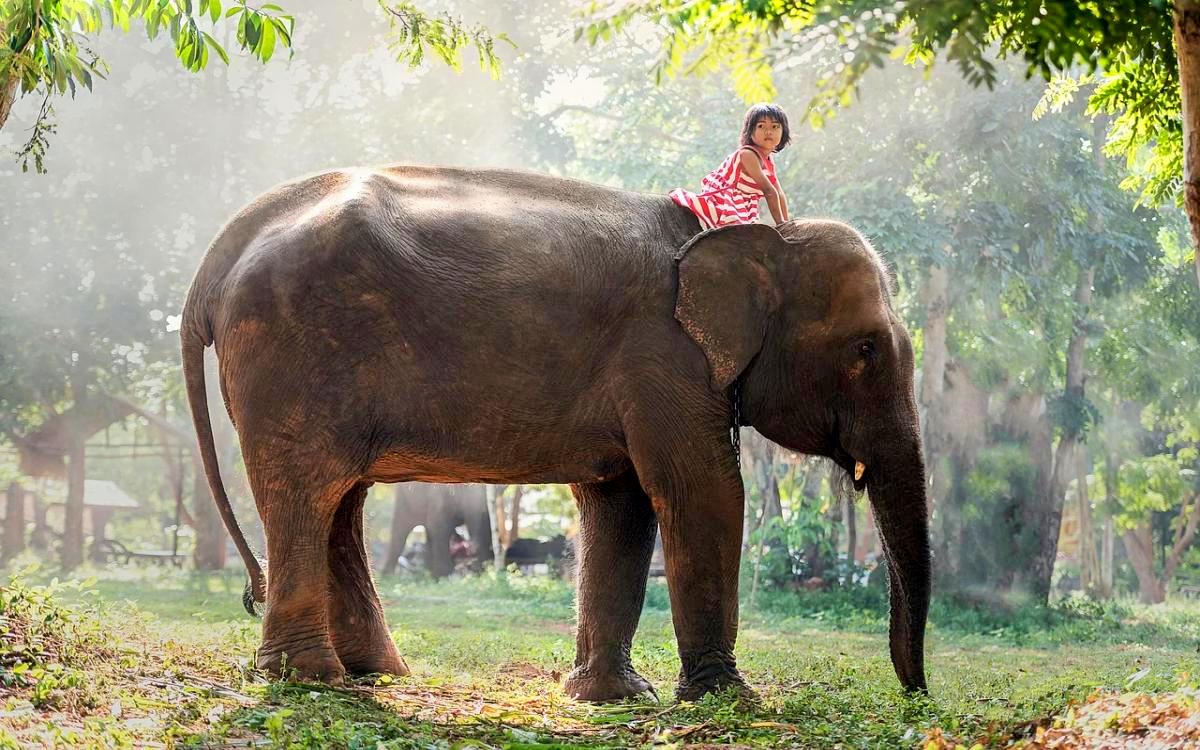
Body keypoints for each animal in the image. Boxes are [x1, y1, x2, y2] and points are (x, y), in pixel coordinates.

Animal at [182, 165, 931, 700]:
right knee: (307, 494)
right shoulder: (664, 355)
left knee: (342, 501)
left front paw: (612, 697)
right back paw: (311, 679)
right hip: (293, 355)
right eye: (865, 349)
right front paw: (729, 700)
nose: (915, 695)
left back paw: (379, 674)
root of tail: (220, 254)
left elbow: (623, 504)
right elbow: (701, 492)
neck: (757, 238)